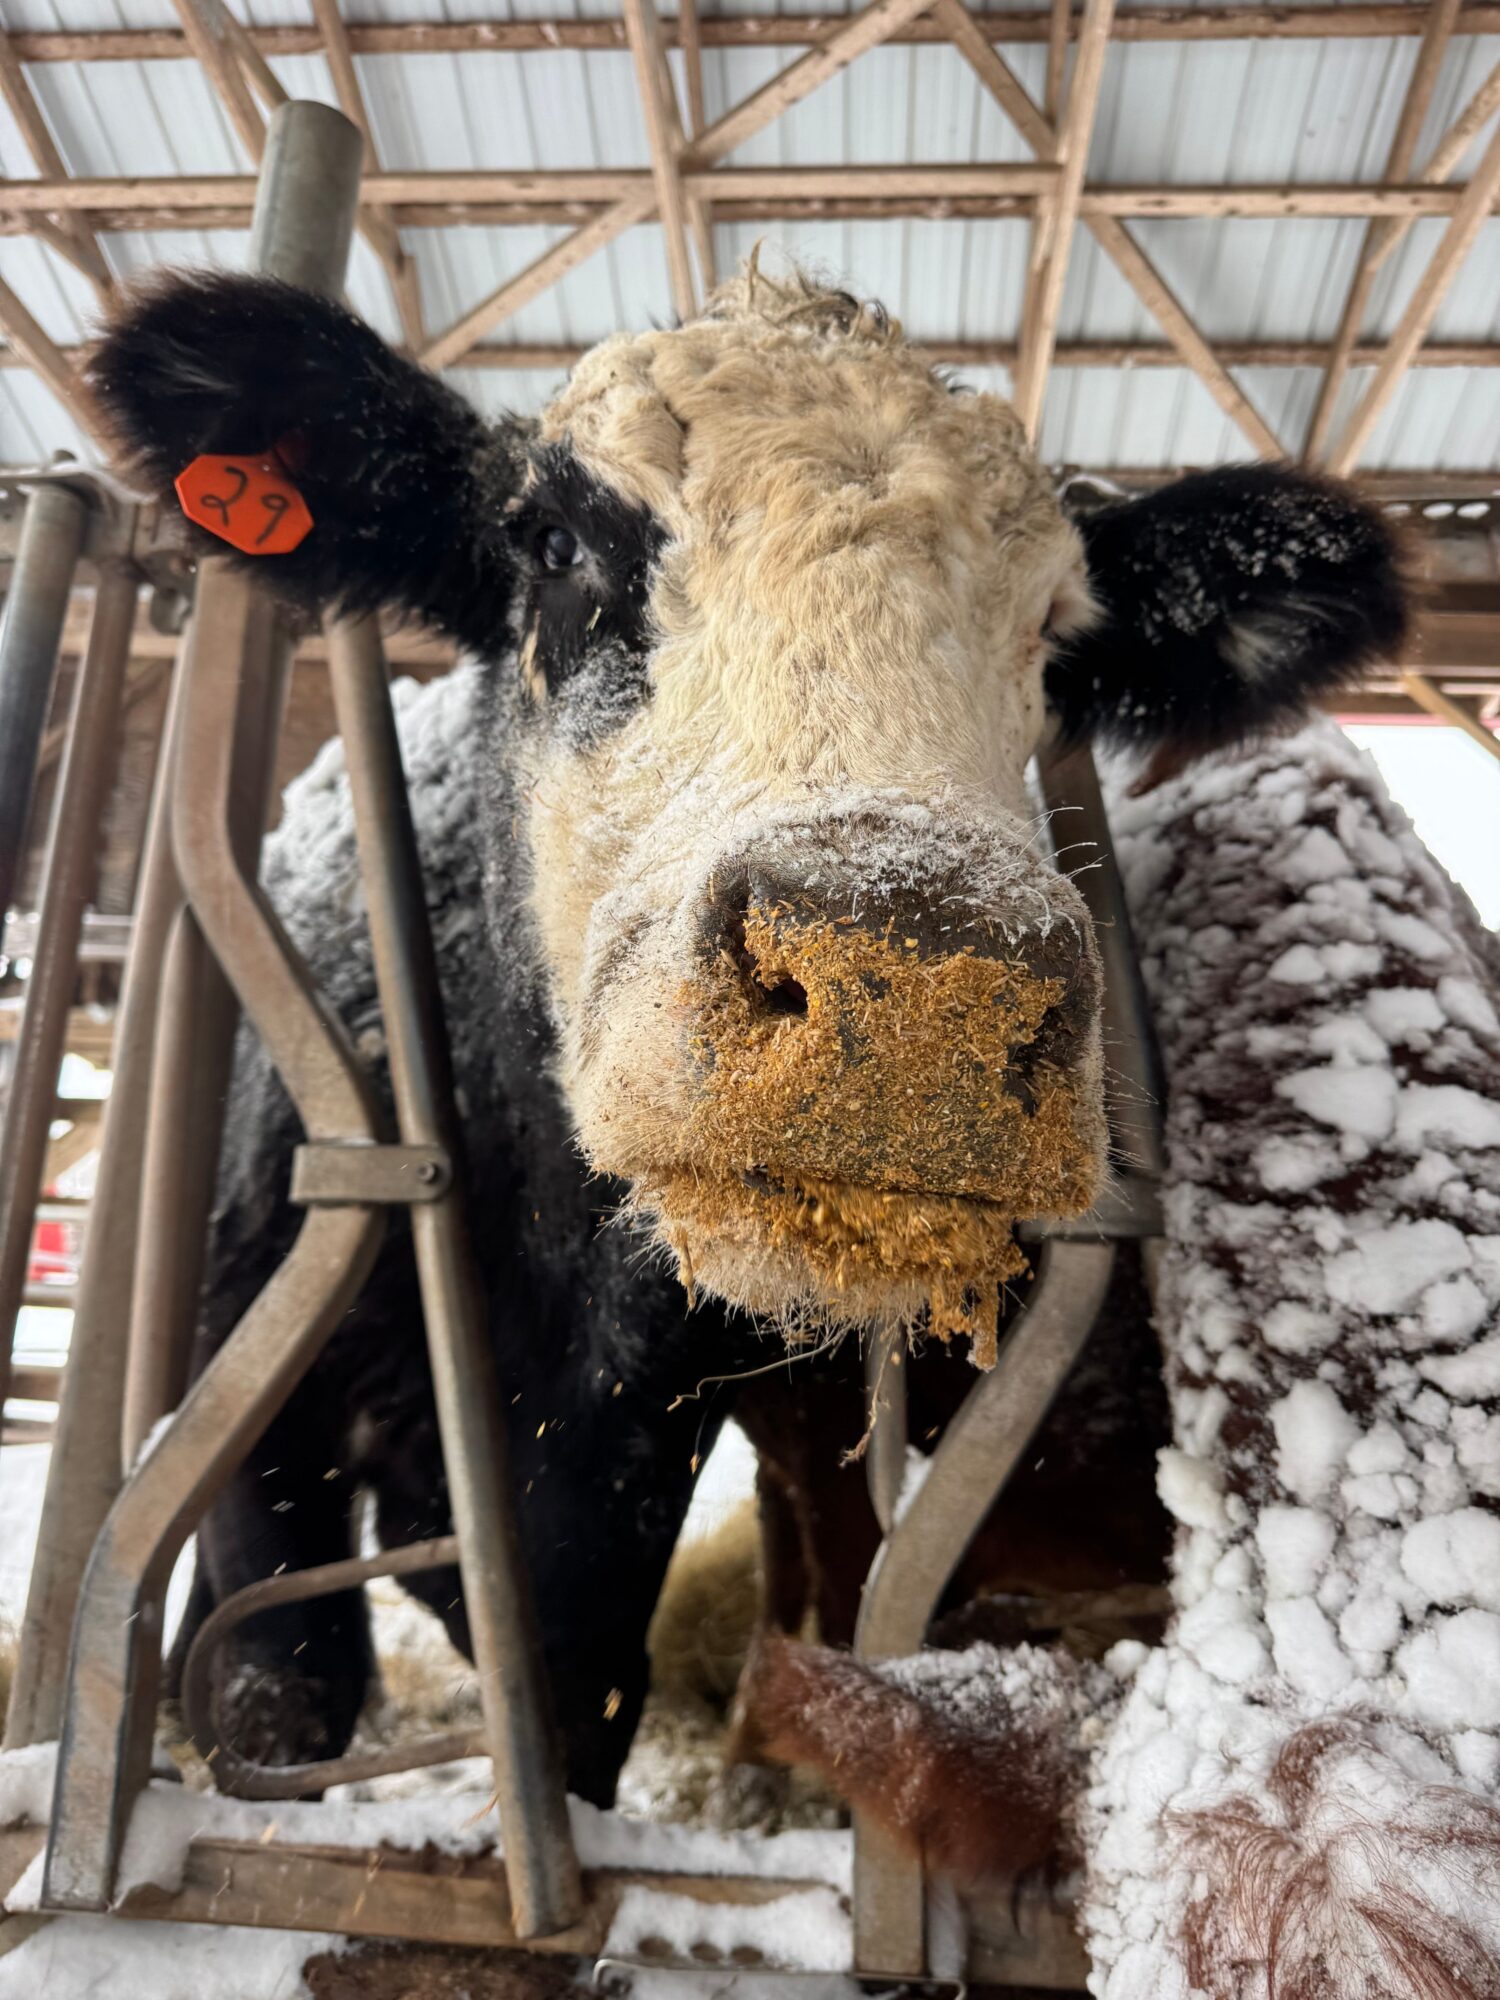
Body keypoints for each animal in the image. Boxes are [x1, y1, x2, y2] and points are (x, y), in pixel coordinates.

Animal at [89, 260, 1409, 1813]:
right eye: (553, 542)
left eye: (1053, 633)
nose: (913, 979)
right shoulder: (256, 1379)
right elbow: (280, 1689)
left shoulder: (624, 1469)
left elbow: (578, 1707)